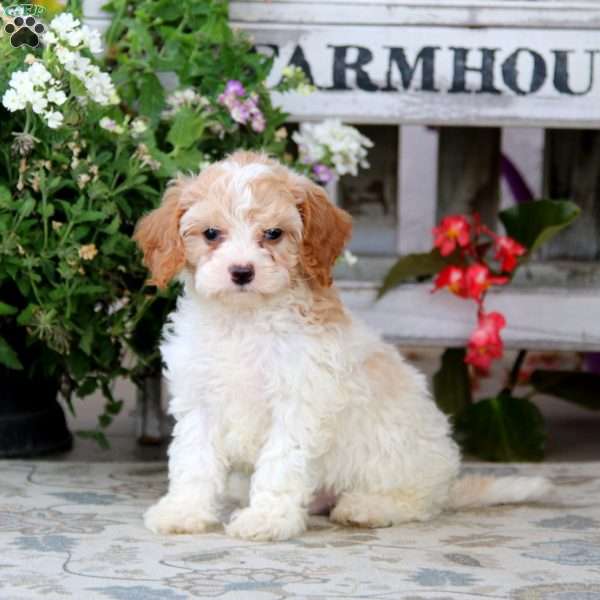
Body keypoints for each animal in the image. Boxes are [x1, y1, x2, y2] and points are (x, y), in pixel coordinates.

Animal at [134, 151, 552, 544]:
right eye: (210, 233)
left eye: (273, 233)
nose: (241, 272)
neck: (245, 319)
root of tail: (448, 483)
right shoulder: (200, 402)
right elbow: (193, 462)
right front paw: (184, 511)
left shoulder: (296, 403)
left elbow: (279, 465)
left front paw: (266, 519)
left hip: (399, 456)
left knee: (419, 501)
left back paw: (367, 507)